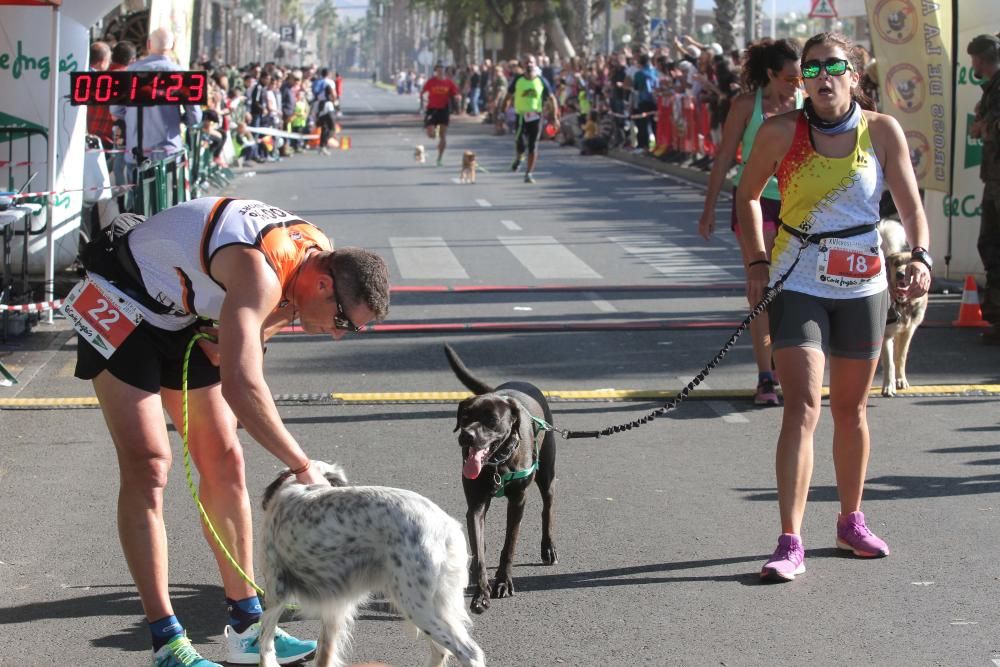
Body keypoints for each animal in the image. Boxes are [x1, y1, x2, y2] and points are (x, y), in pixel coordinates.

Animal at [258, 462, 484, 667]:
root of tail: (449, 528)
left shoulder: (276, 589)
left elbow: (265, 641)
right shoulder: (335, 607)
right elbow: (324, 653)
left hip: (418, 605)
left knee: (469, 653)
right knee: (441, 651)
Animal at [444, 344, 560, 616]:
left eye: (491, 420)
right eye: (465, 417)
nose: (466, 436)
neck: (497, 463)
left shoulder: (517, 502)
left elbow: (509, 545)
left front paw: (503, 583)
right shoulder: (476, 505)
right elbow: (479, 549)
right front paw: (481, 594)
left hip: (547, 473)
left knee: (547, 507)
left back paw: (548, 547)